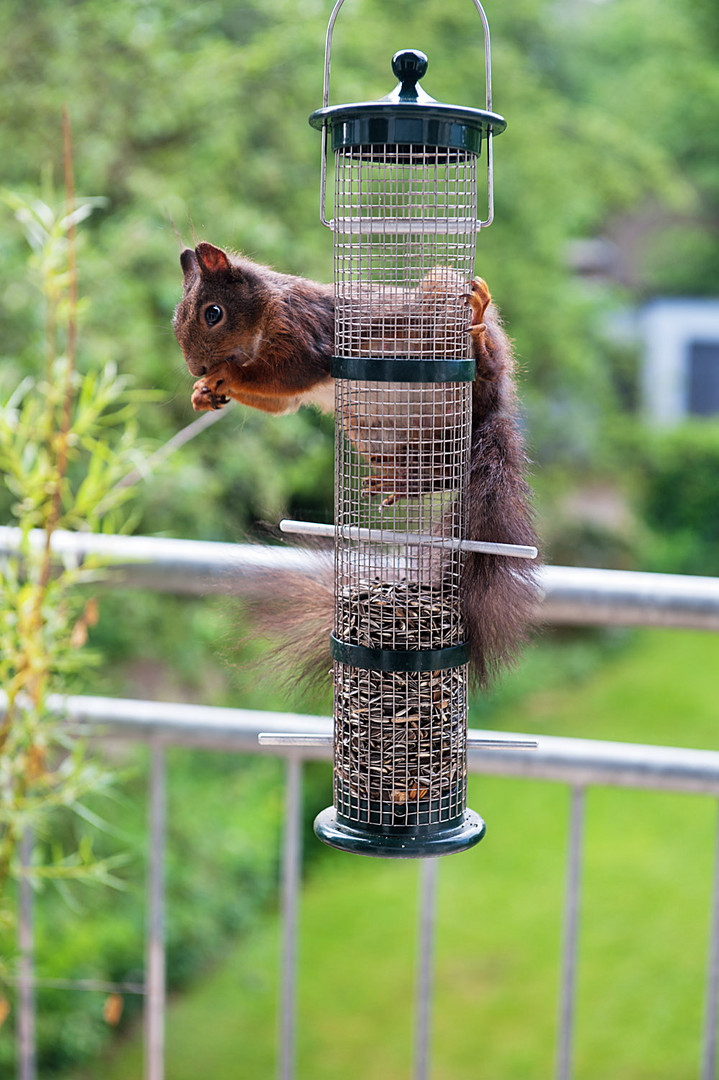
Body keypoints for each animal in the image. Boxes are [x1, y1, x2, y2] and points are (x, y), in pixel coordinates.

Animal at [173, 241, 537, 686]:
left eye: (213, 313)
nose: (197, 368)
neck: (263, 313)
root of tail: (492, 414)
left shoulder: (305, 329)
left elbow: (286, 373)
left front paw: (225, 374)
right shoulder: (292, 390)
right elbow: (278, 401)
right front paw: (202, 393)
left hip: (450, 326)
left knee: (486, 372)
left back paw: (479, 330)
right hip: (369, 427)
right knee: (445, 471)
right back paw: (402, 482)